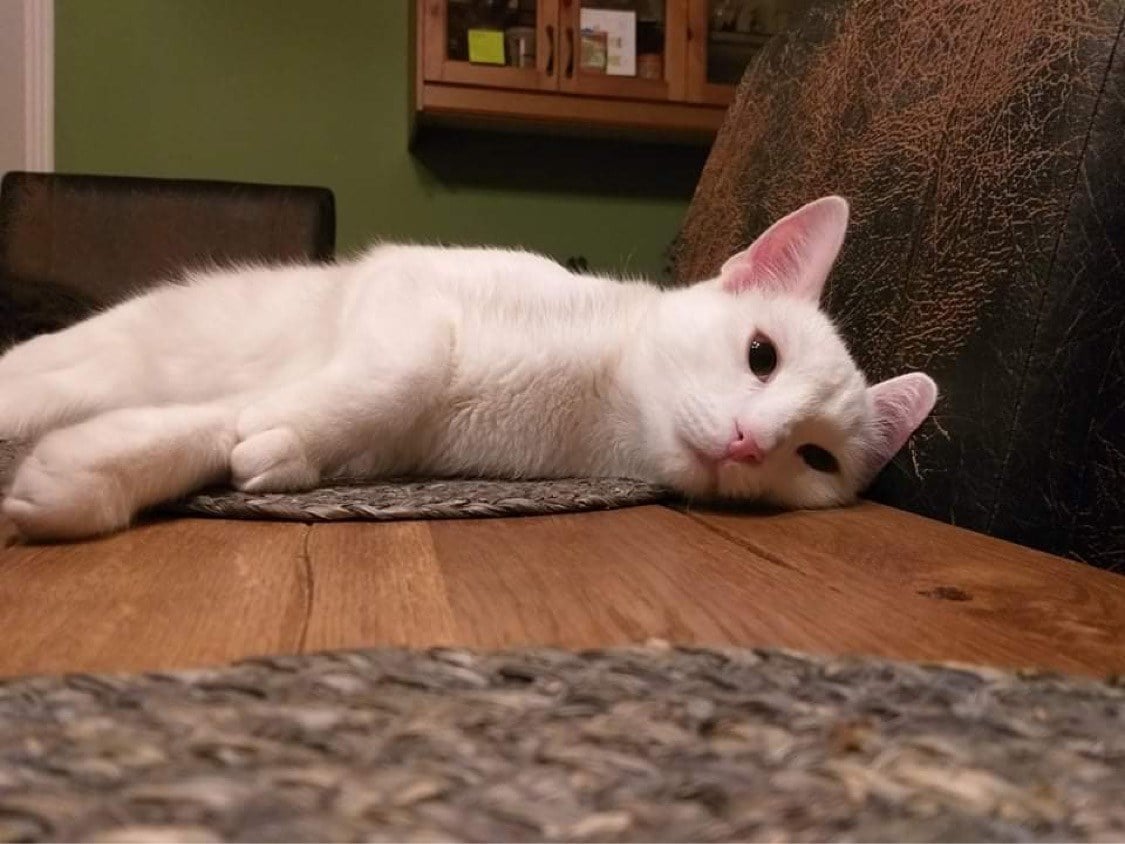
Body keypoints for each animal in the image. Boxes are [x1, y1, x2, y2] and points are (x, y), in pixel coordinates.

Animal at [0, 195, 937, 541]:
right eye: (759, 355)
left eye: (813, 458)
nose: (750, 442)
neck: (590, 402)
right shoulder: (404, 287)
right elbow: (403, 370)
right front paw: (275, 429)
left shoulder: (387, 448)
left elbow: (216, 430)